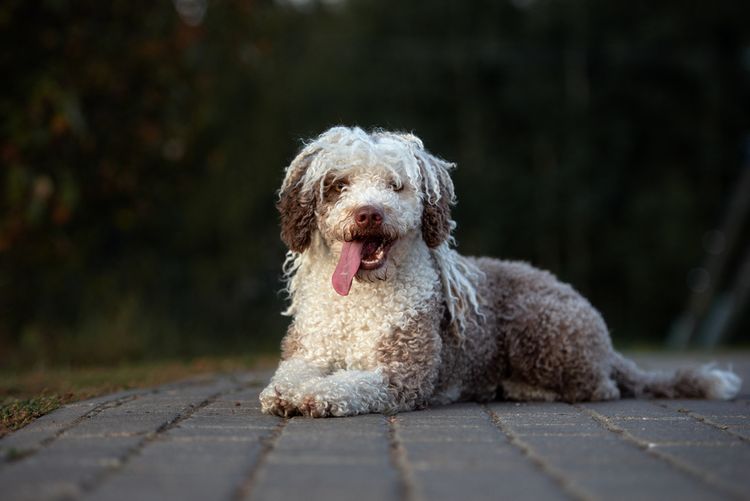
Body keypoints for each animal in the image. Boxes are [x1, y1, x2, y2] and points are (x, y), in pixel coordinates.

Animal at [262, 126, 744, 418]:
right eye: (338, 185)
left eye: (395, 186)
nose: (368, 214)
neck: (360, 298)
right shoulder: (310, 353)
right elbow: (287, 376)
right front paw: (286, 394)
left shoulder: (401, 374)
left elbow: (352, 384)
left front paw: (317, 396)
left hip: (538, 324)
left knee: (599, 387)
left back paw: (527, 389)